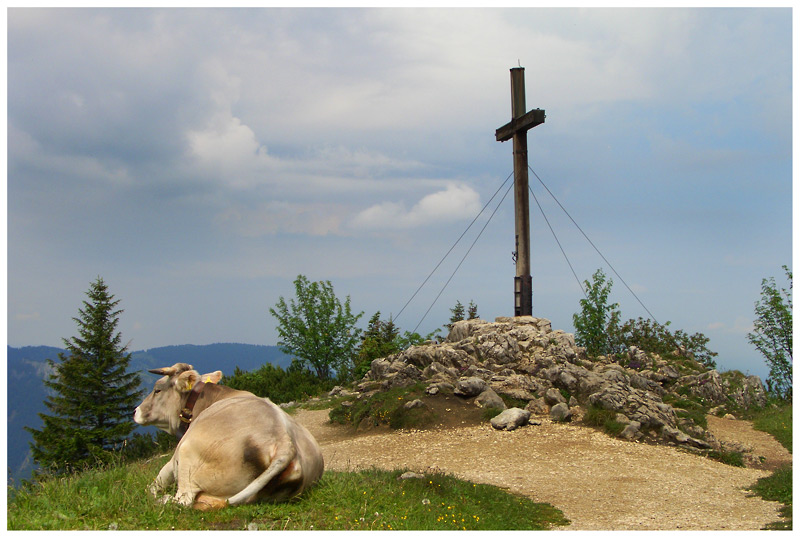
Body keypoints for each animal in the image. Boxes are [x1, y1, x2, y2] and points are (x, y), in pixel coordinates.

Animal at [133, 360, 324, 506]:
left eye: (157, 390)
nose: (135, 411)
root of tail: (285, 443)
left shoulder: (174, 459)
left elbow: (152, 485)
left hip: (187, 454)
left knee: (183, 501)